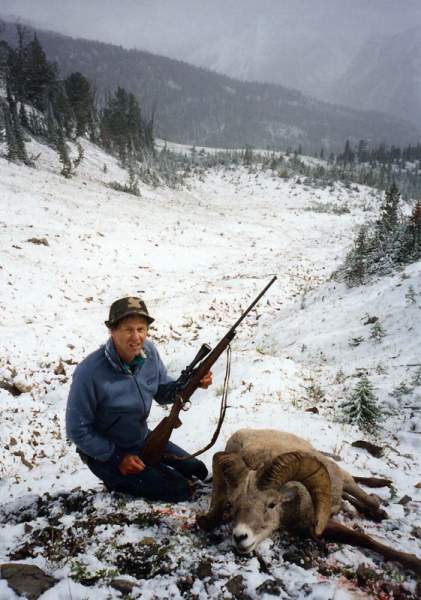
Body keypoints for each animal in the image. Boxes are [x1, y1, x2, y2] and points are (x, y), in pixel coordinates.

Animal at [197, 428, 420, 576]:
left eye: (271, 504)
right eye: (232, 506)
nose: (240, 537)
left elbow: (365, 538)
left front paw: (413, 562)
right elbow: (358, 538)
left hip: (345, 478)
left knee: (359, 490)